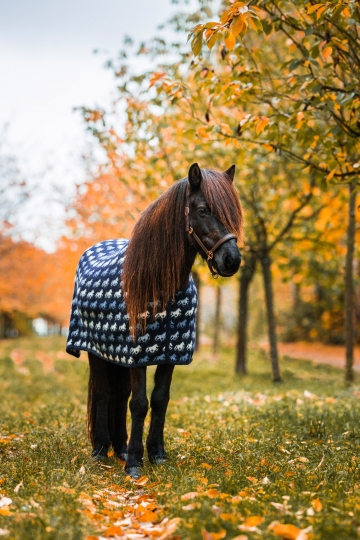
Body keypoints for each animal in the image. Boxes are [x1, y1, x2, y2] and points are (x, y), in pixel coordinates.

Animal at [66, 162, 243, 478]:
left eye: (233, 212)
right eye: (202, 210)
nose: (232, 260)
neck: (162, 286)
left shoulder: (168, 354)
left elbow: (160, 399)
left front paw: (157, 454)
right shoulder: (138, 355)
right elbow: (139, 403)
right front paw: (135, 463)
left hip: (118, 356)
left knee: (118, 394)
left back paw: (120, 448)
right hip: (97, 353)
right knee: (103, 393)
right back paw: (100, 450)